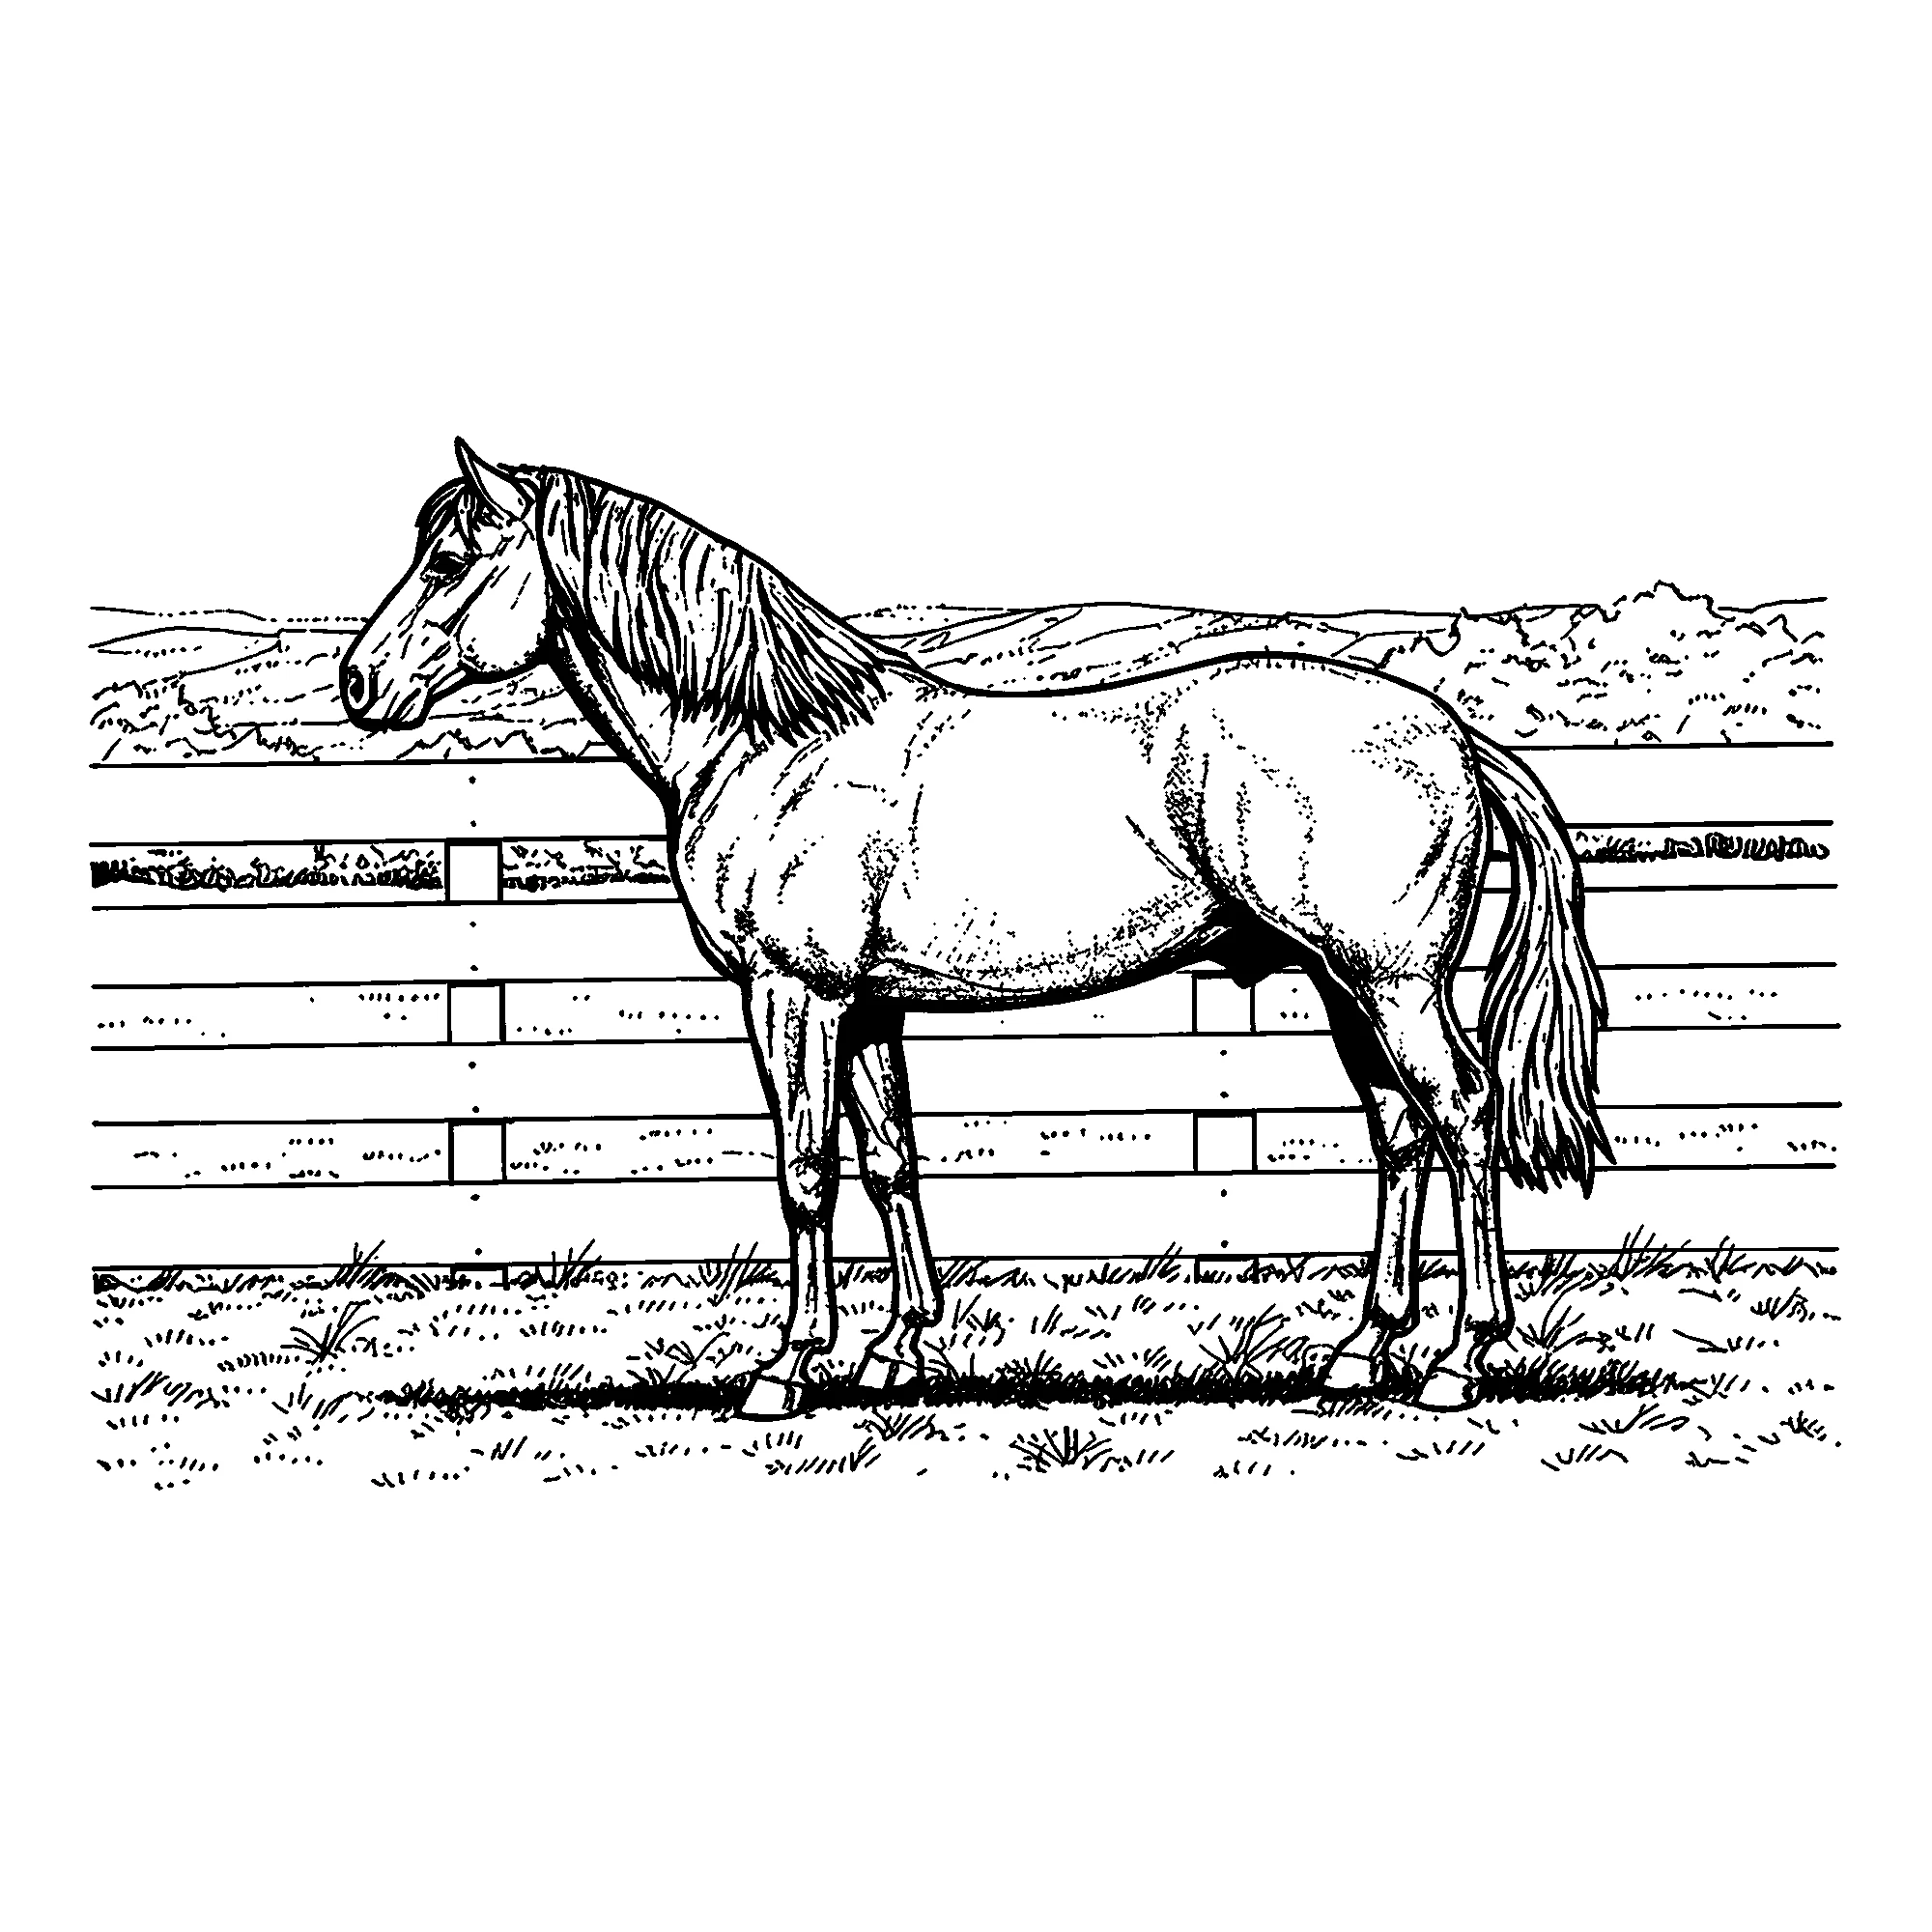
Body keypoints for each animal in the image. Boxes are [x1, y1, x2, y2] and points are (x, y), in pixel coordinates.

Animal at [340, 439, 1611, 1420]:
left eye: (450, 559)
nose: (358, 683)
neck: (775, 743)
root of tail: (1450, 729)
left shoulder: (792, 992)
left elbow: (806, 1172)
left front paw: (786, 1369)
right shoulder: (867, 1006)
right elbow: (888, 1159)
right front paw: (897, 1350)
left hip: (1388, 981)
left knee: (1462, 1115)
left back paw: (1459, 1357)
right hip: (1345, 984)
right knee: (1399, 1135)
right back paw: (1358, 1351)